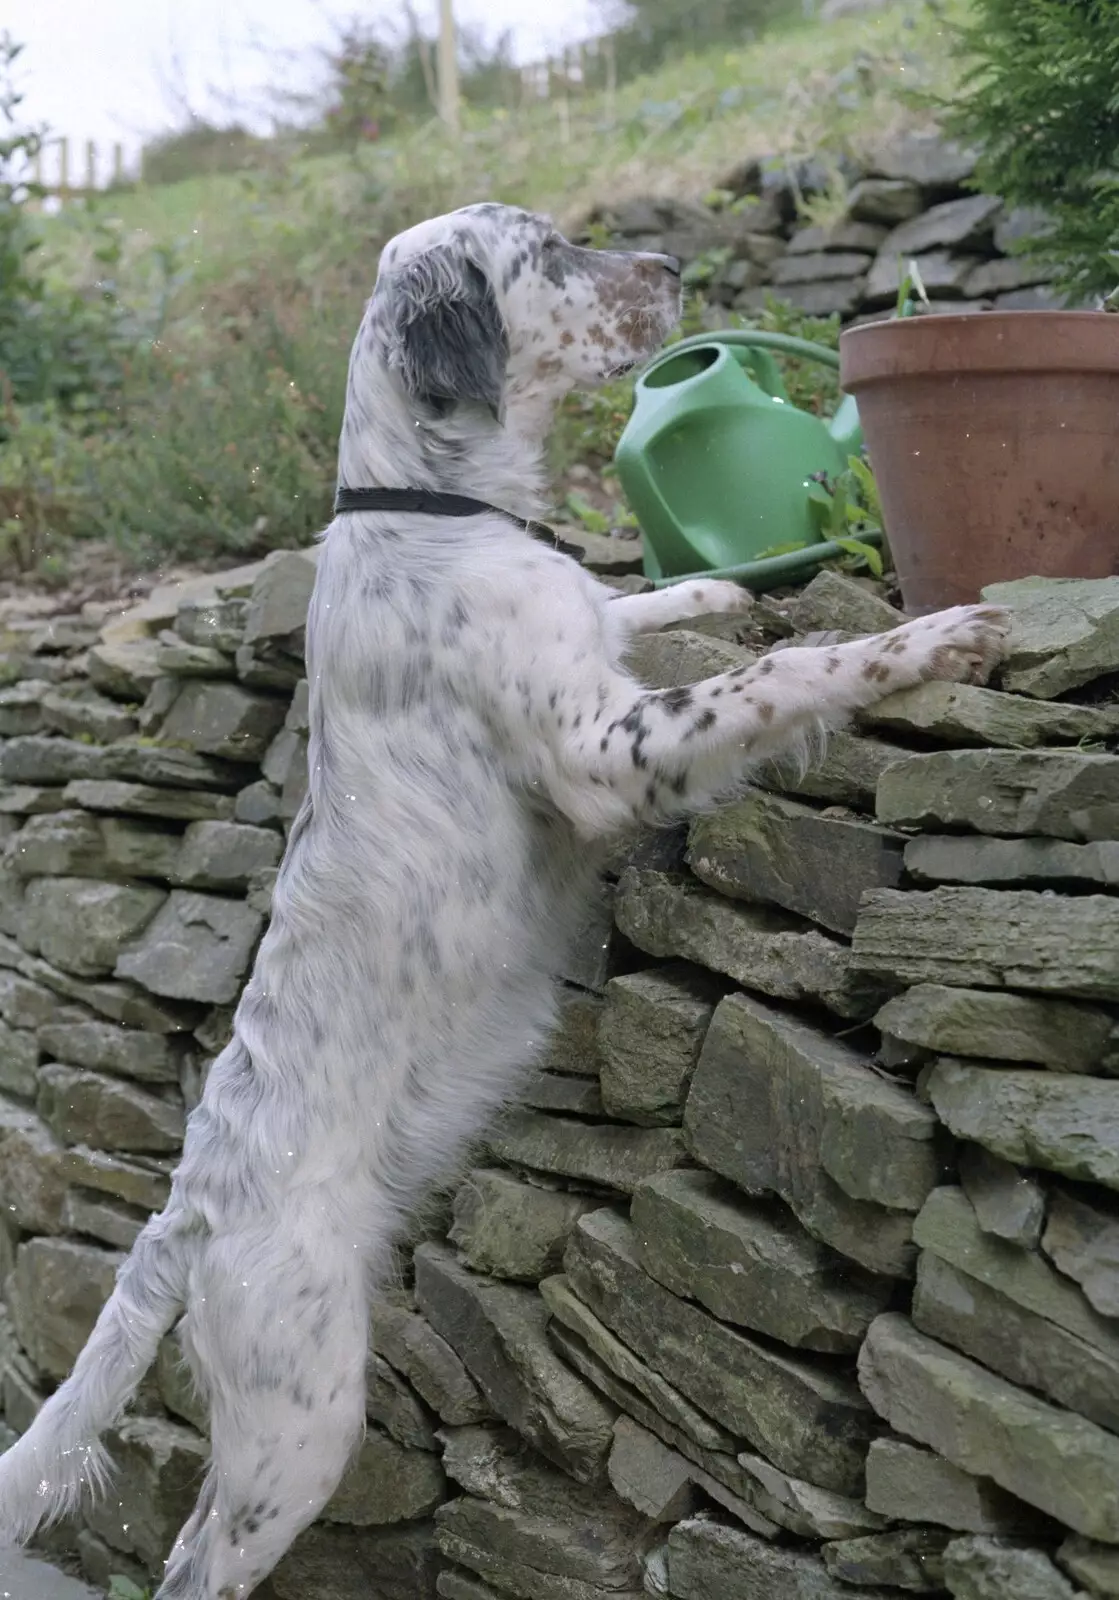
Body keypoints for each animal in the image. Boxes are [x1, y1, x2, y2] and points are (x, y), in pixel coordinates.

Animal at [0, 203, 1011, 1600]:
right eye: (549, 252)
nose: (671, 268)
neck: (433, 513)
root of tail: (185, 1214)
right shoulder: (602, 753)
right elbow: (780, 675)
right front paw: (923, 642)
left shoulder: (592, 647)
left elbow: (638, 601)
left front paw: (715, 586)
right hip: (300, 1412)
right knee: (198, 1561)